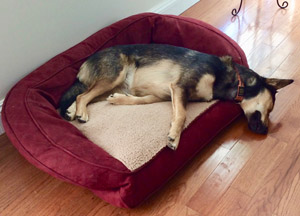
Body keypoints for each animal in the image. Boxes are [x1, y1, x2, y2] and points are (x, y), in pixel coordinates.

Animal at [58, 44, 292, 150]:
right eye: (270, 109)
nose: (265, 131)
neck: (235, 80)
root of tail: (86, 61)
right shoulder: (179, 87)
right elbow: (181, 116)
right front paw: (174, 137)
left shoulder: (162, 94)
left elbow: (139, 100)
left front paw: (118, 100)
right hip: (114, 75)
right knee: (82, 96)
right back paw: (81, 113)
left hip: (111, 84)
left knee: (82, 94)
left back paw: (73, 111)